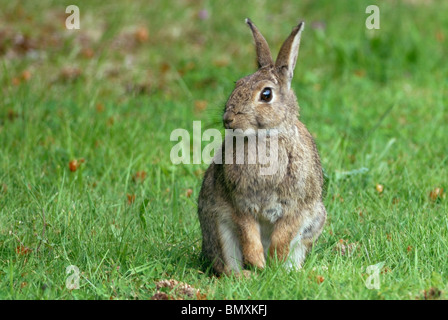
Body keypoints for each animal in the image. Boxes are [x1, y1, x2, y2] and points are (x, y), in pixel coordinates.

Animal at [197, 18, 326, 276]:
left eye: (266, 94)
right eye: (237, 84)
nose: (228, 119)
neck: (263, 137)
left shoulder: (296, 208)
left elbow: (284, 235)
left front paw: (273, 263)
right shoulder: (240, 205)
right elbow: (248, 234)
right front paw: (258, 262)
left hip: (314, 221)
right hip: (217, 223)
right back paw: (247, 275)